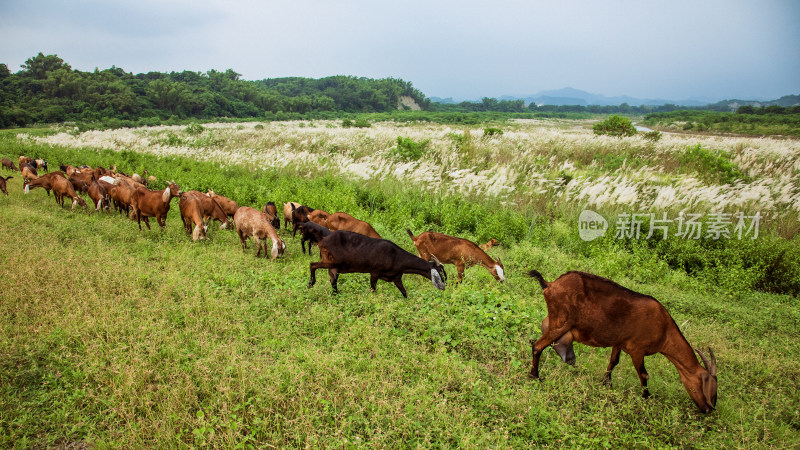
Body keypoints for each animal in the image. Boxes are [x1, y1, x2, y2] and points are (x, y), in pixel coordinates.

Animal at [308, 230, 446, 298]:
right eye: (440, 271)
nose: (445, 284)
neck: (397, 256)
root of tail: (323, 240)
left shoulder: (396, 277)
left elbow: (404, 293)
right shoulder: (374, 272)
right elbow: (373, 289)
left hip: (334, 266)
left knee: (333, 280)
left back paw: (336, 295)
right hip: (333, 261)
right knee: (312, 264)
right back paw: (310, 284)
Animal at [528, 270, 720, 414]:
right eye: (710, 389)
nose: (708, 410)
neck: (665, 330)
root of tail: (550, 284)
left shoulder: (619, 343)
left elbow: (613, 362)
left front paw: (606, 383)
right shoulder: (638, 350)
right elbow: (644, 374)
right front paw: (646, 397)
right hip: (561, 322)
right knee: (537, 346)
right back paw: (535, 377)